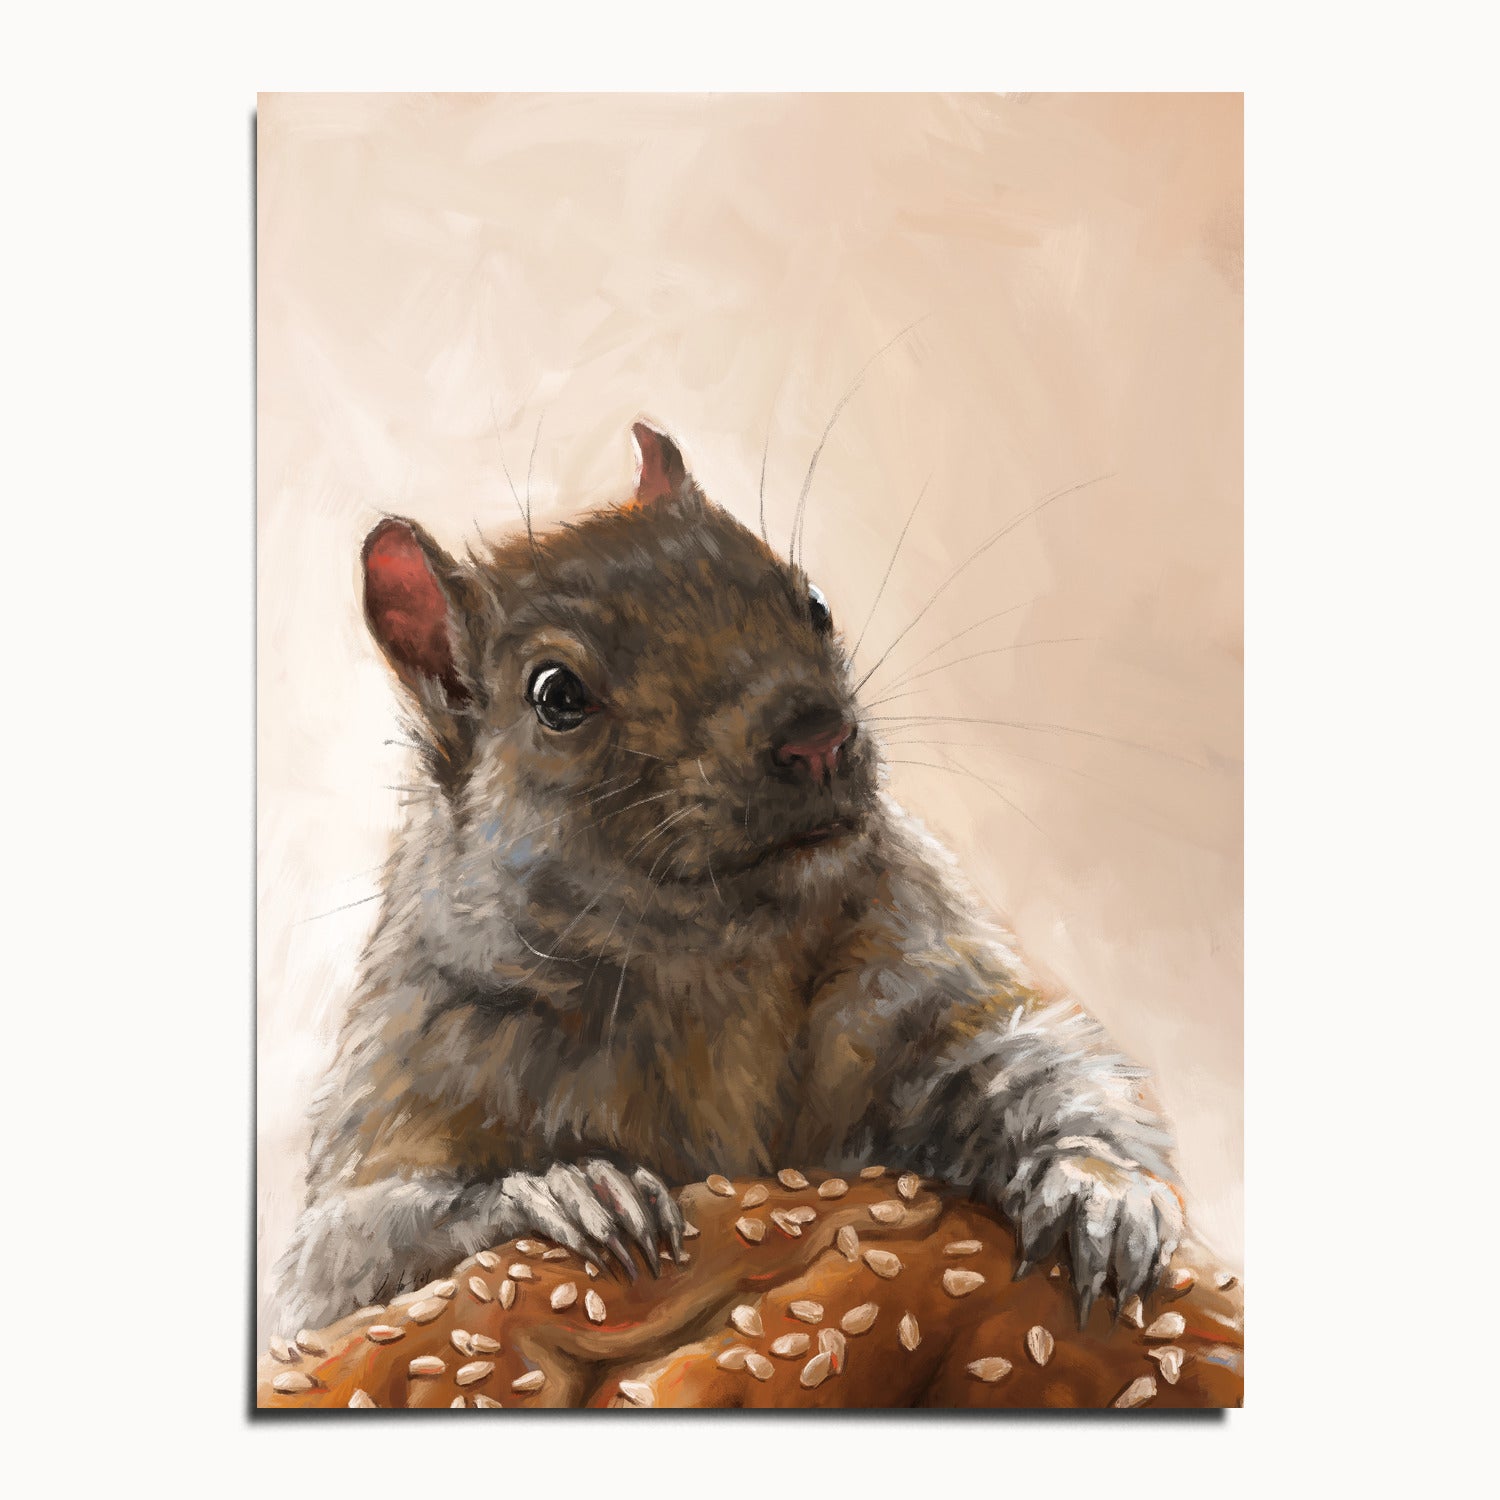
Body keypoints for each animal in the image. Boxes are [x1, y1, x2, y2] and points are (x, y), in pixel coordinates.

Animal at [268, 421, 1185, 1338]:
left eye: (813, 602)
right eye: (556, 694)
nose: (817, 736)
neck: (718, 961)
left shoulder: (916, 981)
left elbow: (1039, 1060)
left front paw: (1101, 1192)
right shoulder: (414, 1068)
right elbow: (343, 1261)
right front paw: (567, 1189)